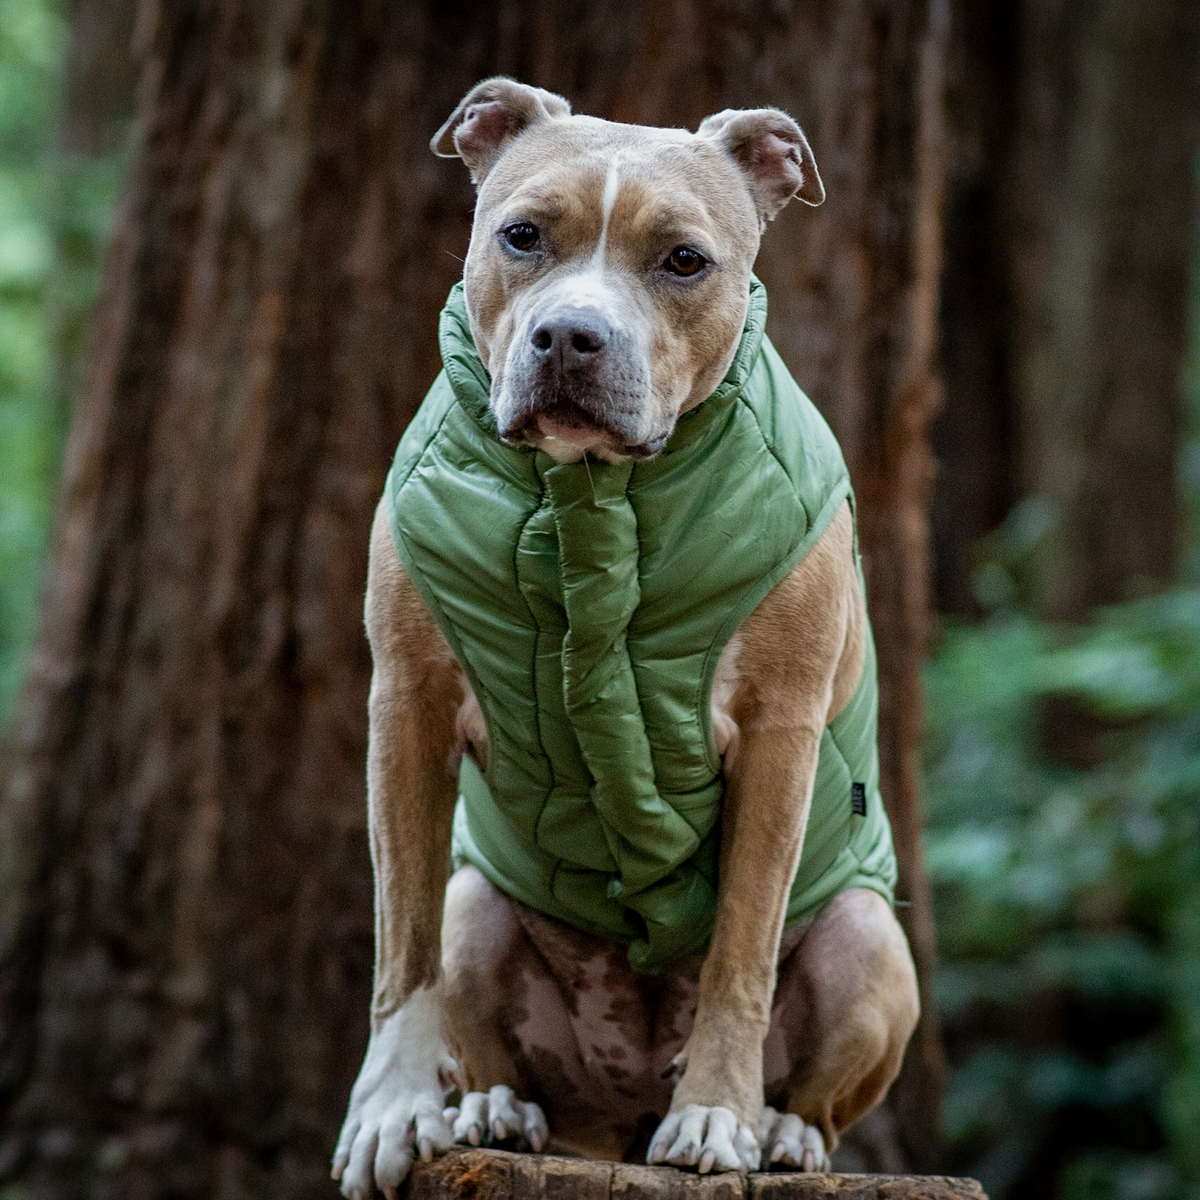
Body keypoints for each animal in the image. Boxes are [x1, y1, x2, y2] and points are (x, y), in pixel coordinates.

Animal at [331, 82, 916, 1200]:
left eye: (684, 260)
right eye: (522, 236)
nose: (569, 336)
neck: (591, 494)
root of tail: (618, 1111)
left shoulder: (780, 737)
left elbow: (740, 950)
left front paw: (717, 1117)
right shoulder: (405, 709)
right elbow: (400, 943)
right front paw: (390, 1109)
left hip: (871, 937)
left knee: (821, 1087)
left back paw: (779, 1132)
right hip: (482, 902)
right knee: (490, 1017)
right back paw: (495, 1110)